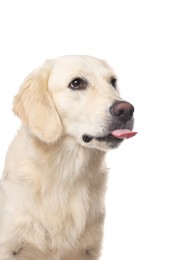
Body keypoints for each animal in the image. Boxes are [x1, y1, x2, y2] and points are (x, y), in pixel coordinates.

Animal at [0, 55, 136, 260]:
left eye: (113, 82)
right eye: (77, 83)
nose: (126, 110)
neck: (66, 172)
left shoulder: (89, 249)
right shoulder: (9, 246)